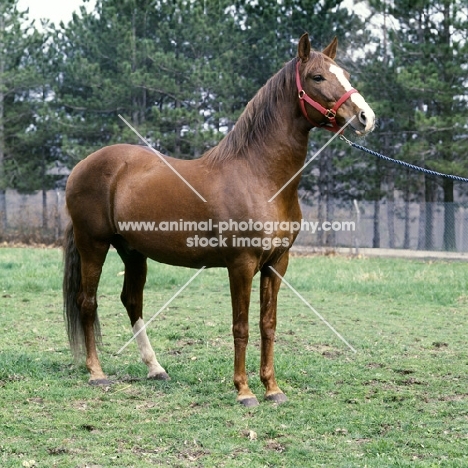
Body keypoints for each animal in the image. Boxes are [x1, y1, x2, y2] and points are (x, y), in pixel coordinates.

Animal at [63, 33, 376, 406]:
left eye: (344, 73)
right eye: (317, 77)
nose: (365, 117)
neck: (259, 176)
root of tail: (82, 165)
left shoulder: (276, 264)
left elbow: (267, 324)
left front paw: (272, 389)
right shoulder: (241, 264)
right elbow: (240, 326)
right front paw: (244, 391)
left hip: (133, 251)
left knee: (131, 301)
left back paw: (156, 369)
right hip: (93, 245)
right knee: (87, 302)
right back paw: (96, 372)